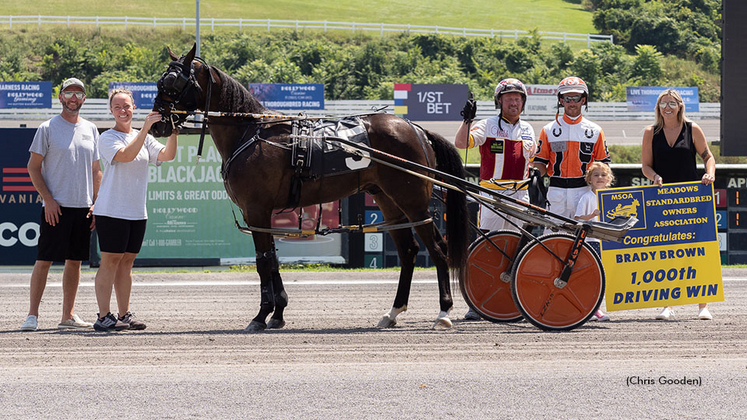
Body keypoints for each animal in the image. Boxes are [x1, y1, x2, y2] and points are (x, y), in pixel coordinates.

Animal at [150, 44, 468, 330]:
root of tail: (415, 128)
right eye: (159, 82)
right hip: (388, 201)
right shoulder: (261, 214)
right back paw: (393, 312)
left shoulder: (257, 209)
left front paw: (261, 315)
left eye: (173, 82)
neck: (250, 133)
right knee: (409, 250)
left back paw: (443, 312)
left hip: (413, 201)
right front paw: (277, 314)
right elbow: (271, 259)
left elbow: (263, 262)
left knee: (437, 248)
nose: (156, 125)